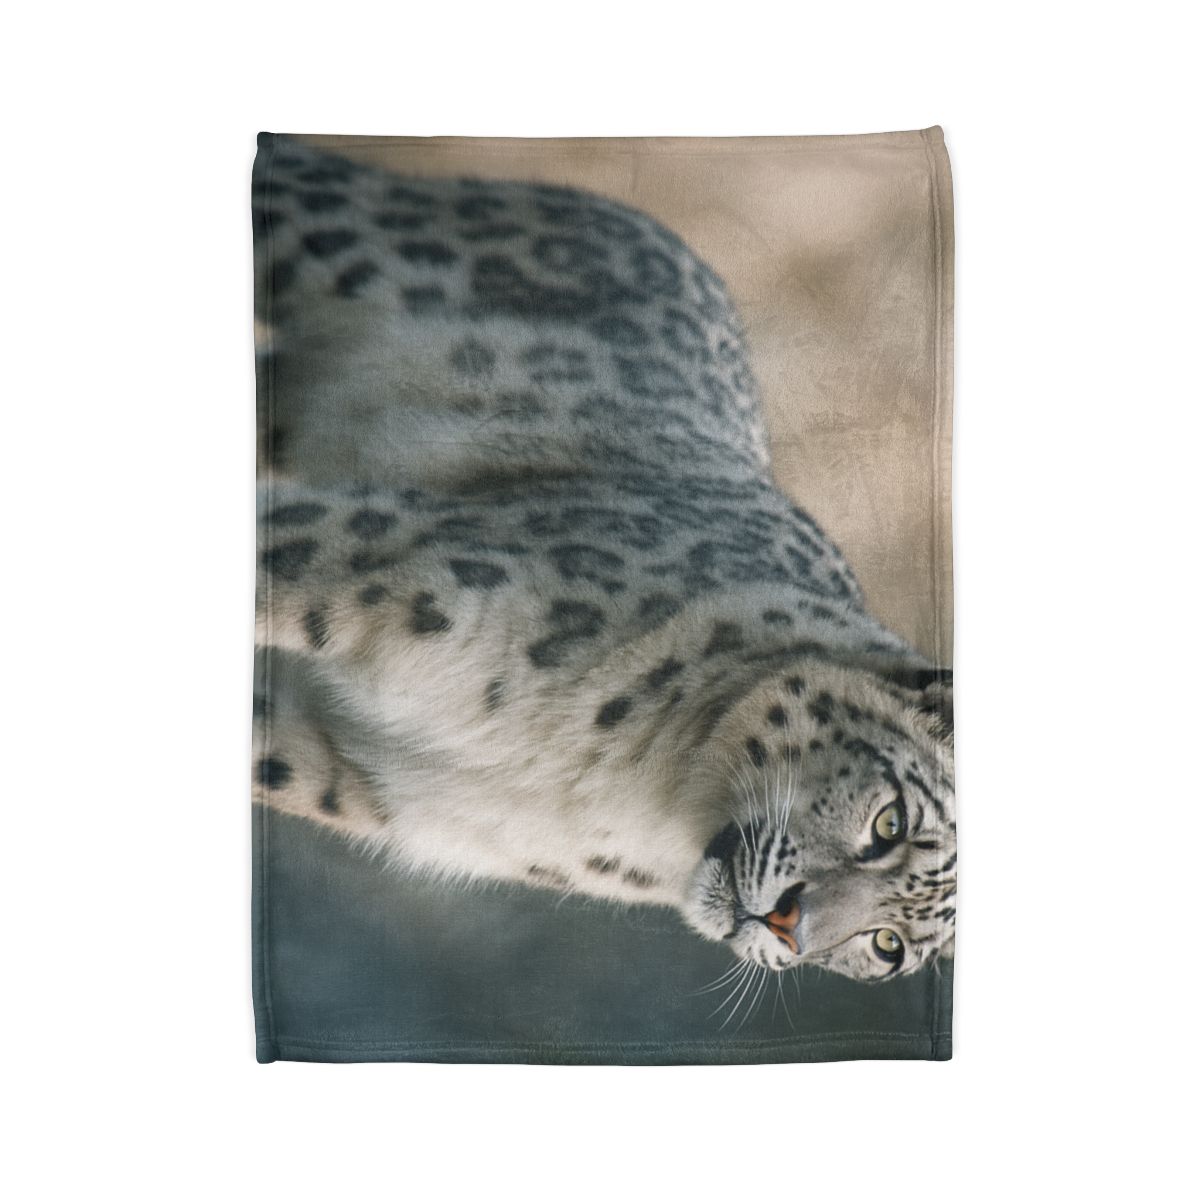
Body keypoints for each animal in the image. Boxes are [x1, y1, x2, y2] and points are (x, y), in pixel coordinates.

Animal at [251, 133, 956, 983]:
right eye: (889, 822)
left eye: (888, 946)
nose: (791, 927)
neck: (629, 790)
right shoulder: (392, 561)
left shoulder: (349, 767)